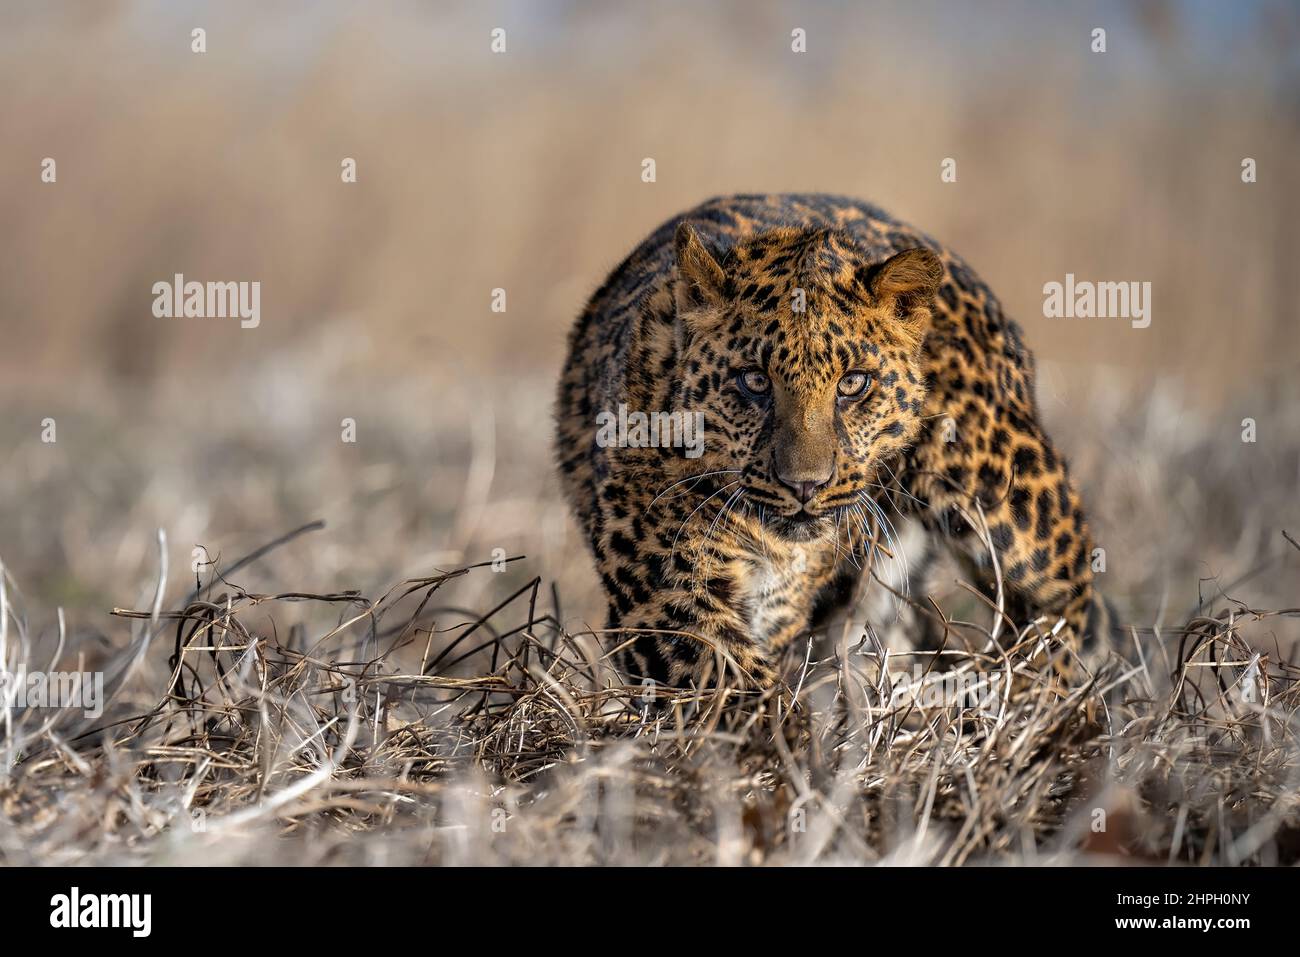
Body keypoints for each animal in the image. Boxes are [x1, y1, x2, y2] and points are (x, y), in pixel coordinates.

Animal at [553, 195, 1112, 691]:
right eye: (754, 381)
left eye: (853, 383)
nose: (806, 485)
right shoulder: (665, 598)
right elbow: (736, 687)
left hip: (1005, 492)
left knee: (1067, 594)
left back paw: (1041, 705)